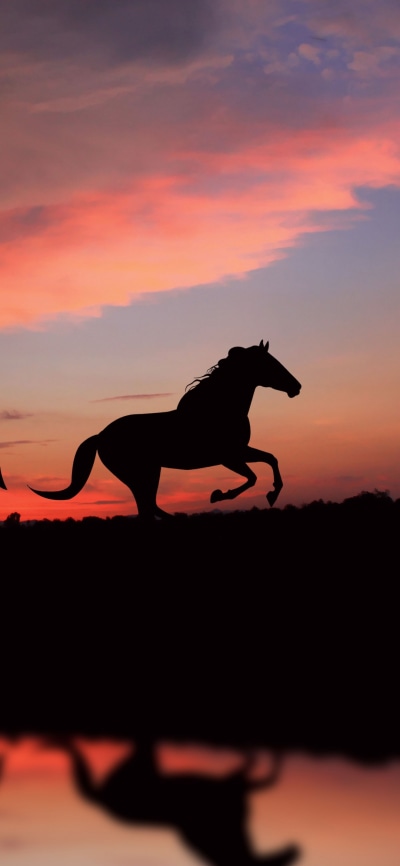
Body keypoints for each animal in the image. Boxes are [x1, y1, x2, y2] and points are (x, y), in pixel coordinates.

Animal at [27, 341, 301, 518]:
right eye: (271, 364)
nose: (296, 387)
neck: (219, 408)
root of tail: (101, 435)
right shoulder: (228, 456)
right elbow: (253, 477)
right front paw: (218, 495)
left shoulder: (239, 451)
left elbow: (271, 459)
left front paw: (272, 494)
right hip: (139, 473)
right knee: (147, 508)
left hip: (150, 472)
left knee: (149, 507)